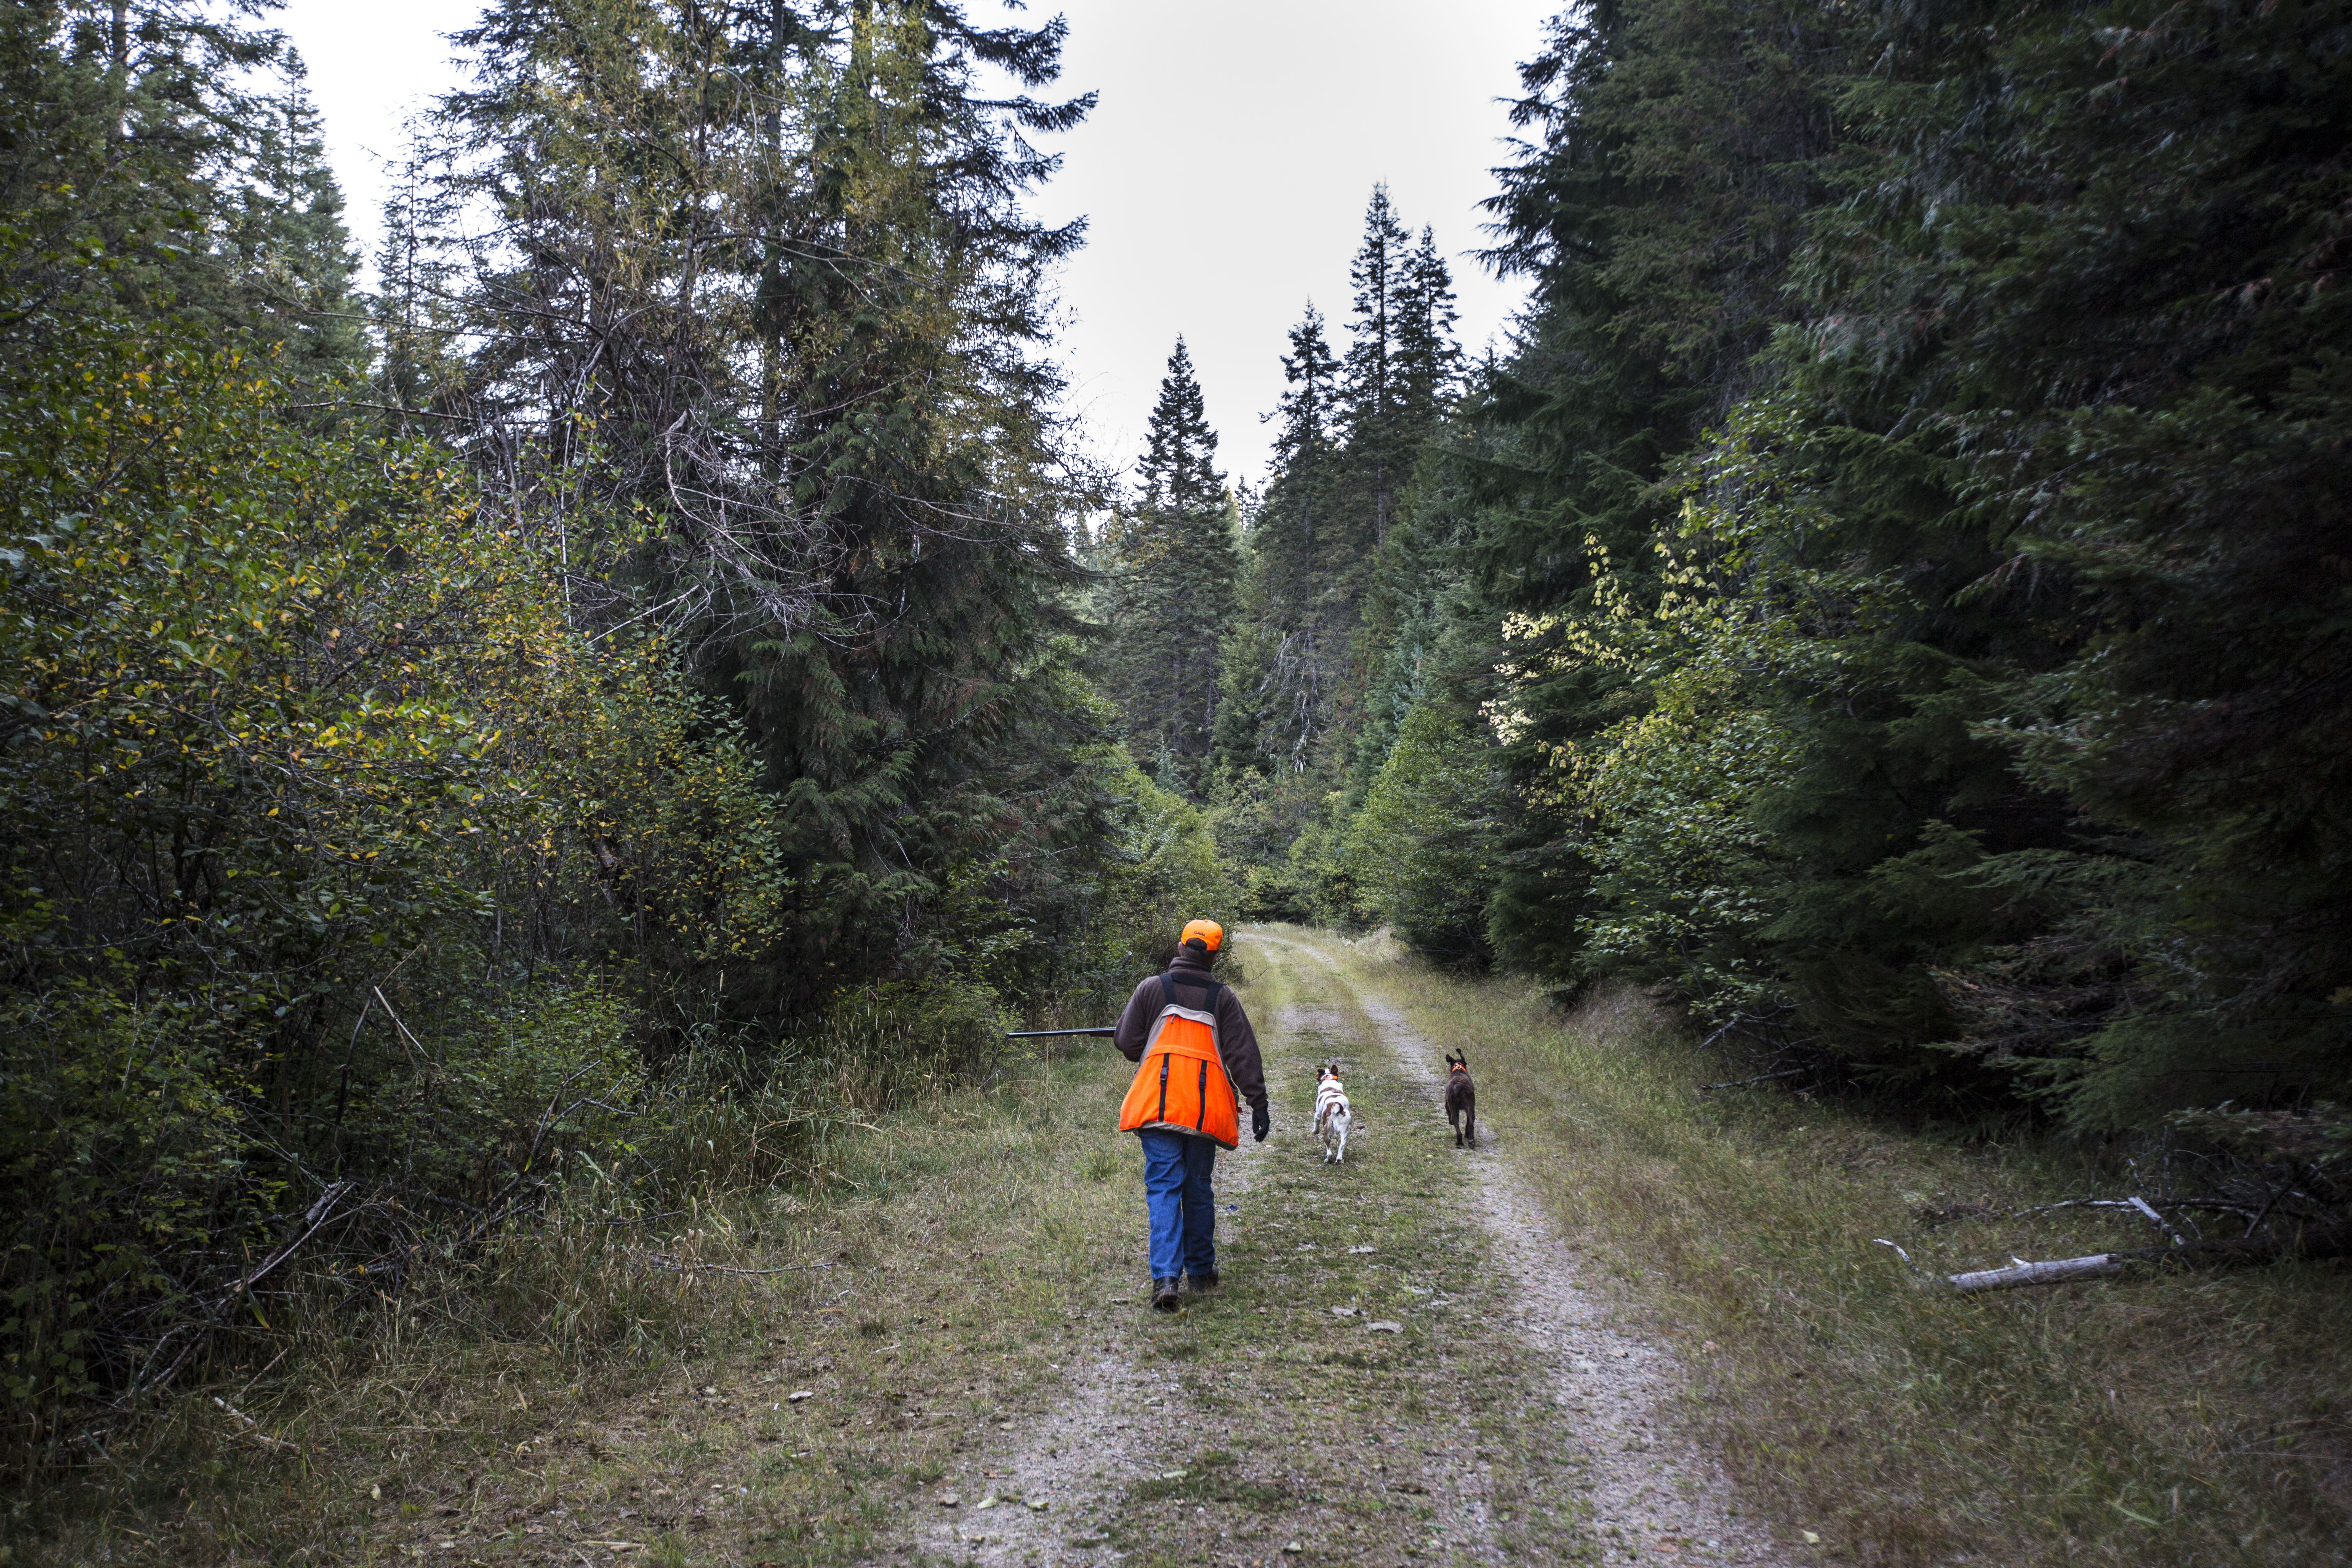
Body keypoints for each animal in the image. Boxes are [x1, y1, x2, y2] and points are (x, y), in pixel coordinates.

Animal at [1317, 1067, 1354, 1166]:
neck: (1329, 1079)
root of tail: (1335, 1106)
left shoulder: (1317, 1113)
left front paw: (1315, 1131)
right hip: (1345, 1132)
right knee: (1341, 1147)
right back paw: (1338, 1160)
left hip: (1327, 1130)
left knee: (1329, 1150)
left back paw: (1328, 1160)